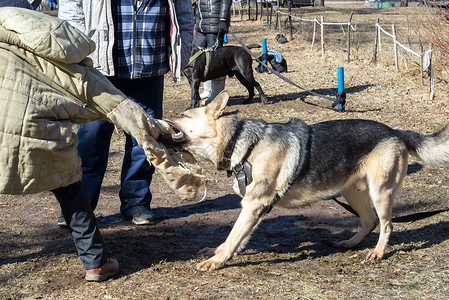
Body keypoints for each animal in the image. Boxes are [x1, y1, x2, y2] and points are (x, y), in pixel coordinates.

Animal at [163, 90, 448, 270]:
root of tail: (397, 132)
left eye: (183, 116)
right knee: (369, 221)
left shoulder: (254, 205)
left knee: (386, 225)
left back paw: (377, 253)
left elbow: (233, 236)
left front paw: (217, 260)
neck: (243, 143)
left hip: (380, 193)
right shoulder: (251, 208)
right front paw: (217, 252)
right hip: (352, 192)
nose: (157, 116)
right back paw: (351, 243)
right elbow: (235, 238)